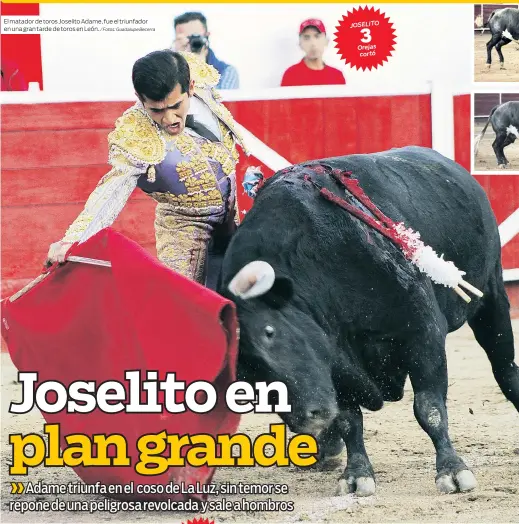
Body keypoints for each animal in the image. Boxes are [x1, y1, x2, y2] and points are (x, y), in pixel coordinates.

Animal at [218, 146, 519, 496]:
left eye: (269, 331)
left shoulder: (424, 333)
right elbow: (349, 420)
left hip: (492, 295)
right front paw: (356, 475)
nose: (308, 419)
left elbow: (428, 408)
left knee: (504, 367)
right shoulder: (337, 364)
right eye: (244, 374)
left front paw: (453, 471)